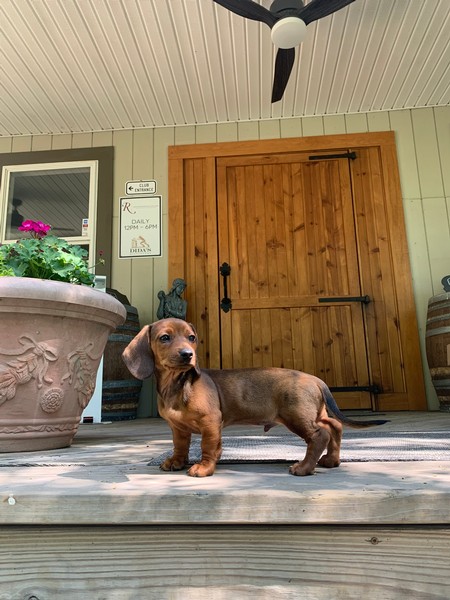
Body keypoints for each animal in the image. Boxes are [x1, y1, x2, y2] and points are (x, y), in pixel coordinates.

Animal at [122, 318, 386, 478]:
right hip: (313, 413)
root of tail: (315, 378)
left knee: (320, 435)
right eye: (165, 338)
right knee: (334, 426)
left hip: (296, 416)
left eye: (191, 338)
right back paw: (331, 460)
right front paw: (176, 461)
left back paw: (303, 468)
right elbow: (180, 446)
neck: (177, 384)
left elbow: (208, 447)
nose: (188, 355)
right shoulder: (178, 428)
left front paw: (204, 467)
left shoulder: (210, 422)